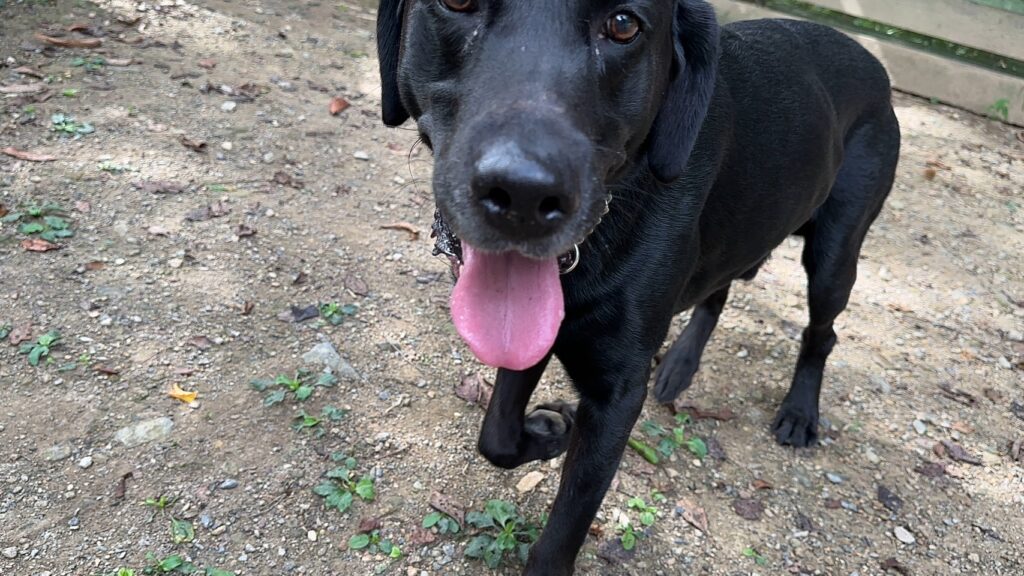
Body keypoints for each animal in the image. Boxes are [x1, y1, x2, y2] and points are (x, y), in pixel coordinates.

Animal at [376, 1, 900, 573]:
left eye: (624, 25)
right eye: (457, 4)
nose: (523, 195)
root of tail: (874, 63)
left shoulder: (618, 395)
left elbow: (560, 535)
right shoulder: (538, 332)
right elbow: (496, 435)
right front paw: (550, 432)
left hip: (833, 257)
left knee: (821, 333)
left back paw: (801, 412)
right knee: (718, 292)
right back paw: (680, 366)